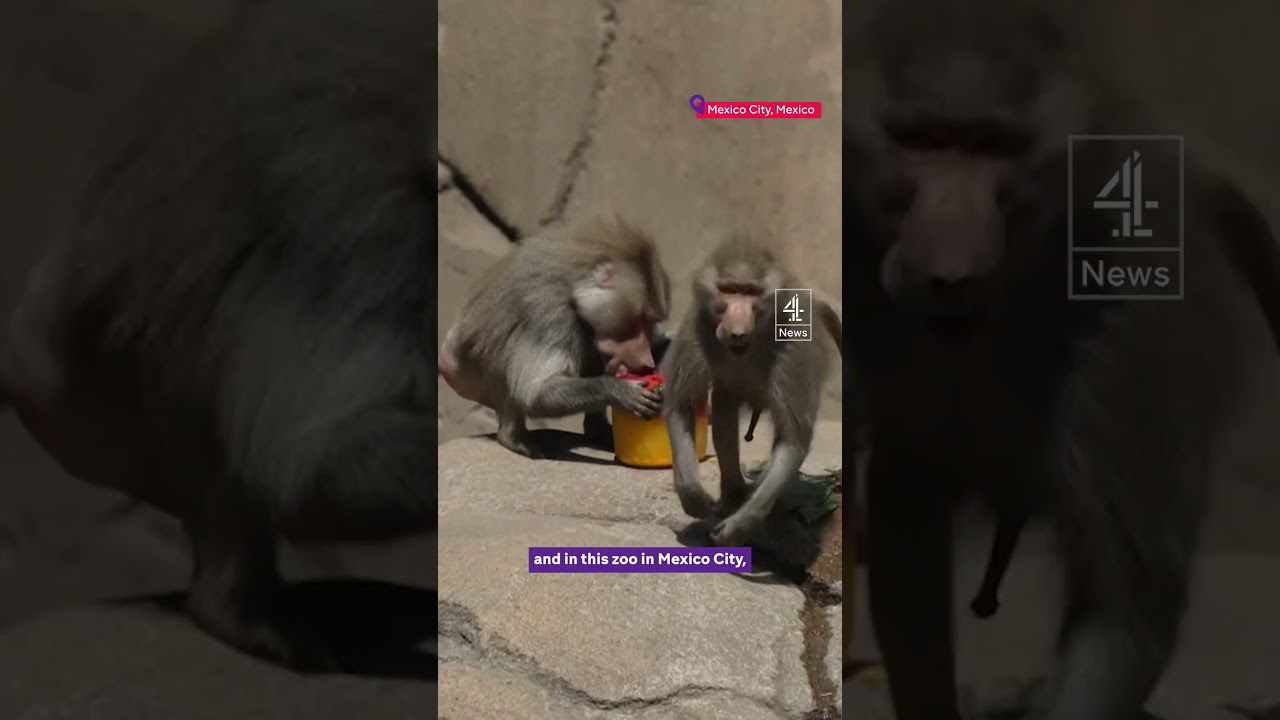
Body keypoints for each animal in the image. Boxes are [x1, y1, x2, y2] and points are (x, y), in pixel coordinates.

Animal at [437, 215, 670, 459]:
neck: (574, 289)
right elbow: (535, 392)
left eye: (651, 322)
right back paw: (513, 438)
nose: (647, 362)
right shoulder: (551, 318)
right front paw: (624, 392)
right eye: (643, 319)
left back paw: (597, 430)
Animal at [662, 236, 842, 547]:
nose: (735, 327)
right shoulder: (697, 329)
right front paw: (693, 498)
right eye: (729, 290)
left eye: (750, 292)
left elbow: (792, 440)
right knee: (724, 404)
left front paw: (740, 525)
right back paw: (733, 494)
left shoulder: (793, 351)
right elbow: (682, 407)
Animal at [843, 0, 1280, 718]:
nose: (949, 270)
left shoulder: (1131, 328)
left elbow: (1121, 613)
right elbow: (906, 524)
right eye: (925, 139)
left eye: (993, 146)